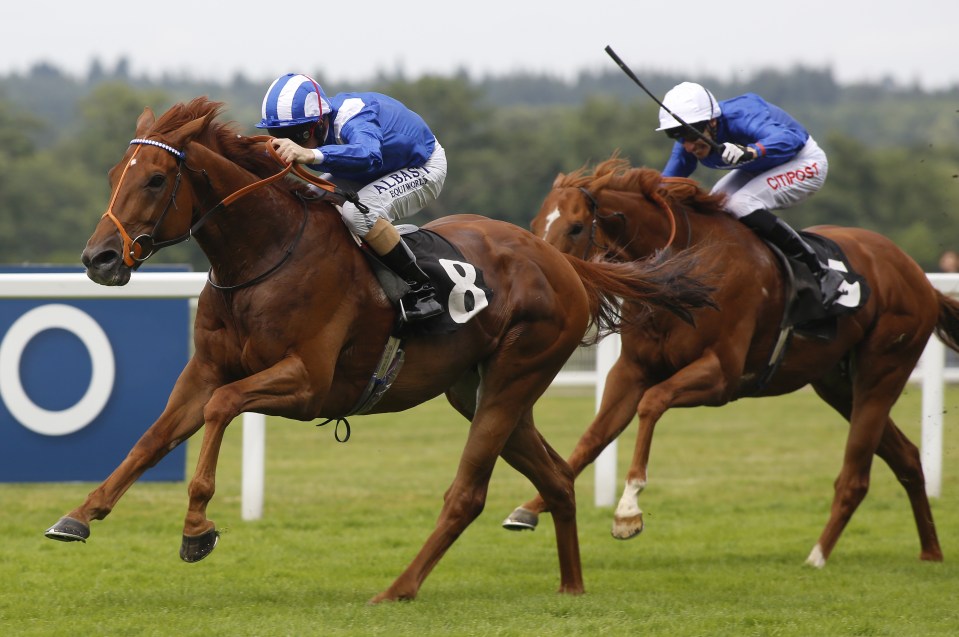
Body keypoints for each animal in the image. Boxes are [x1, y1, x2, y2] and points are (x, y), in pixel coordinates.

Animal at [47, 100, 720, 600]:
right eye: (114, 176)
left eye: (156, 179)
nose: (98, 258)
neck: (264, 254)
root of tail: (563, 263)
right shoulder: (205, 369)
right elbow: (154, 437)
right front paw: (78, 515)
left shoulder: (306, 382)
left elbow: (222, 408)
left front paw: (196, 529)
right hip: (478, 390)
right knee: (554, 476)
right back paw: (571, 589)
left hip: (514, 376)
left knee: (467, 495)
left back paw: (398, 589)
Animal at [506, 157, 956, 564]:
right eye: (534, 223)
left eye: (576, 226)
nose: (548, 274)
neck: (684, 268)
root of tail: (918, 277)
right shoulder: (631, 369)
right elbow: (594, 436)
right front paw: (530, 508)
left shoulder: (721, 375)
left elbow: (652, 404)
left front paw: (627, 512)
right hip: (839, 385)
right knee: (906, 457)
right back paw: (930, 551)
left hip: (883, 371)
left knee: (856, 476)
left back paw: (817, 556)